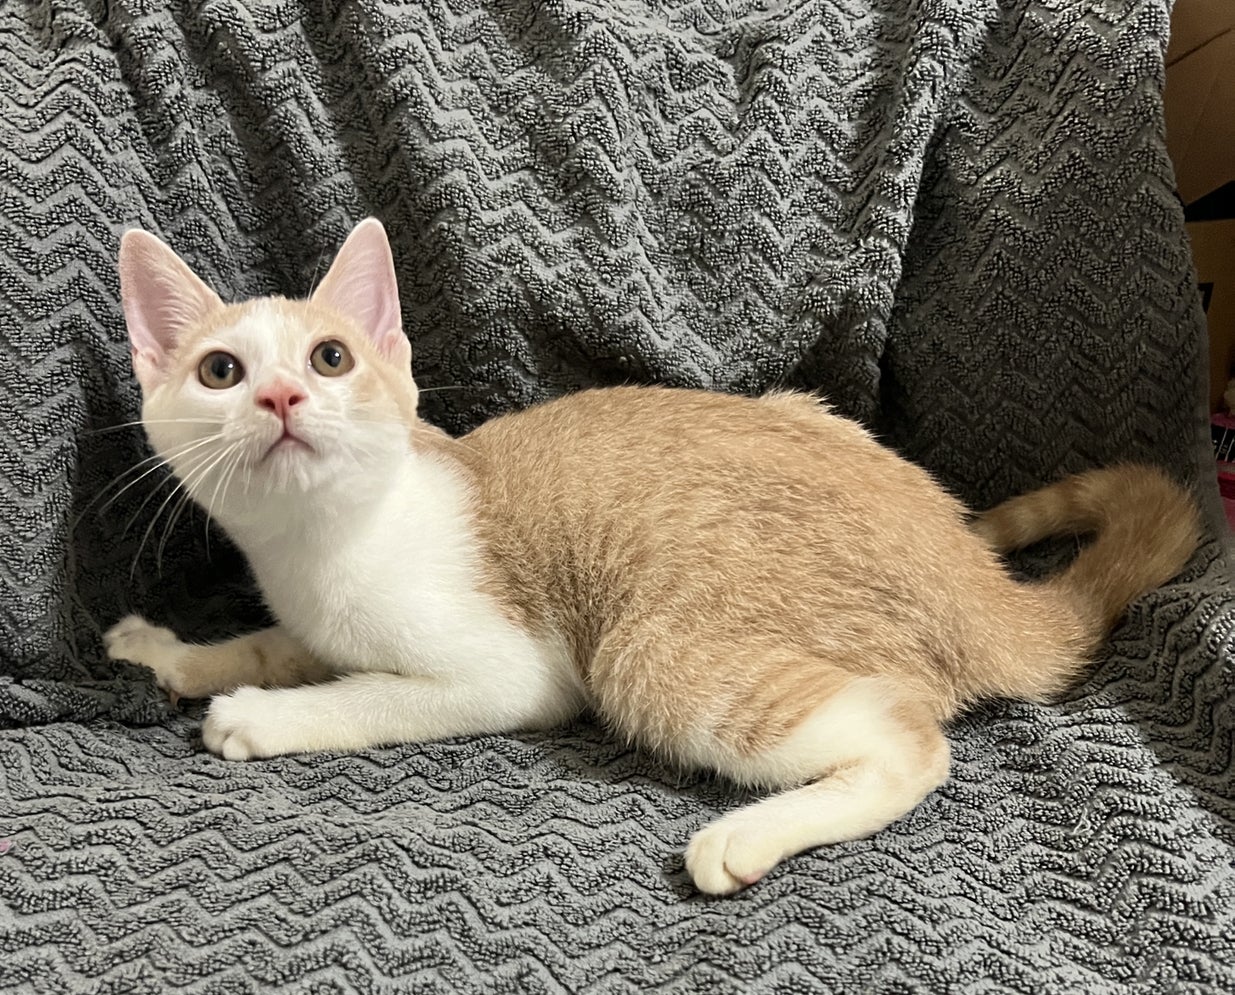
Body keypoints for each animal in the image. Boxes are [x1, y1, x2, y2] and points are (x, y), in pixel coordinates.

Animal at [104, 218, 1201, 895]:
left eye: (330, 357)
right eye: (220, 370)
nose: (280, 395)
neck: (325, 542)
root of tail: (976, 582)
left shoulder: (510, 672)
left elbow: (366, 694)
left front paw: (255, 715)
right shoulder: (306, 614)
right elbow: (272, 642)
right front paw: (177, 654)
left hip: (648, 653)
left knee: (908, 742)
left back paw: (747, 834)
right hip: (797, 412)